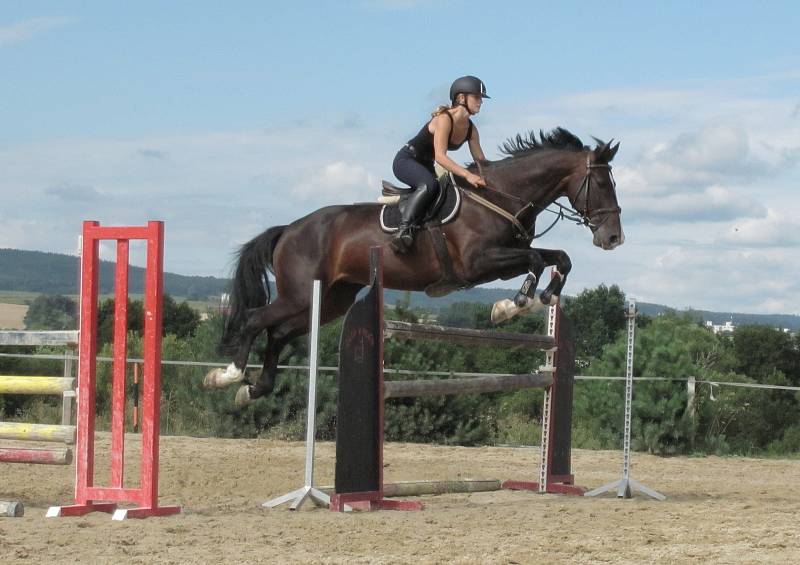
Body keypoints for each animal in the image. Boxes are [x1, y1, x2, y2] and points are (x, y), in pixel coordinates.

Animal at [205, 126, 624, 406]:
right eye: (603, 184)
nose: (613, 238)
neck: (501, 196)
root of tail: (289, 229)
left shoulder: (503, 261)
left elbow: (559, 258)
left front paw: (543, 298)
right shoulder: (478, 263)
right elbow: (537, 259)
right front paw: (511, 305)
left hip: (330, 300)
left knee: (278, 333)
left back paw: (253, 389)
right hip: (299, 293)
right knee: (256, 320)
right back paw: (227, 376)